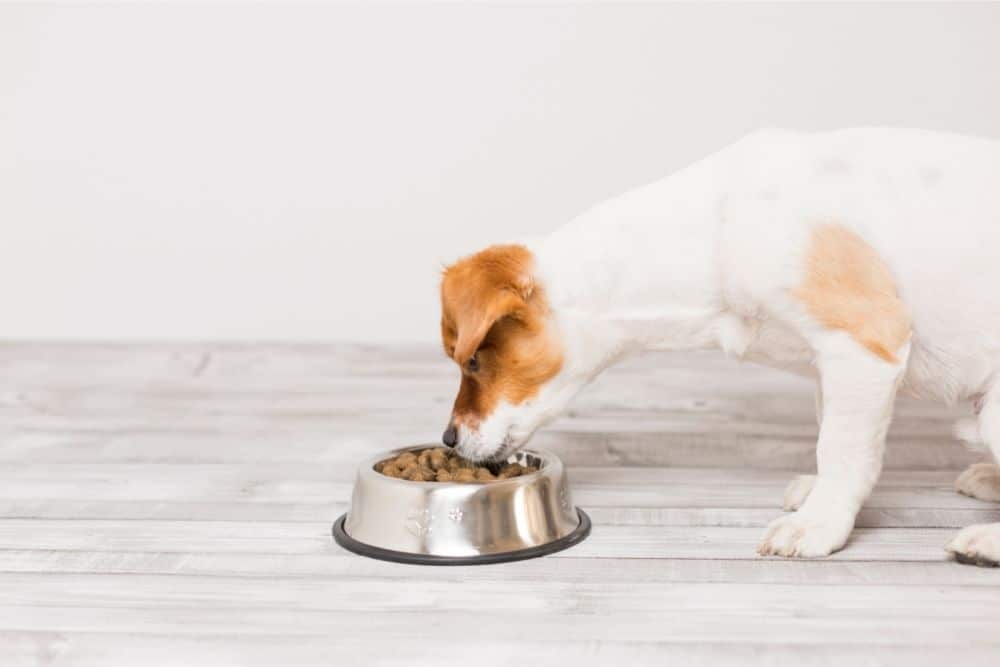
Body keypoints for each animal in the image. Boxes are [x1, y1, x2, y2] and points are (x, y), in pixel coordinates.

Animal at [438, 128, 1000, 568]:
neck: (712, 233)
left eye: (473, 359)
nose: (447, 438)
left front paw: (819, 524)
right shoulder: (830, 366)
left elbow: (842, 451)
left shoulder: (863, 344)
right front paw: (816, 496)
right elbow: (829, 433)